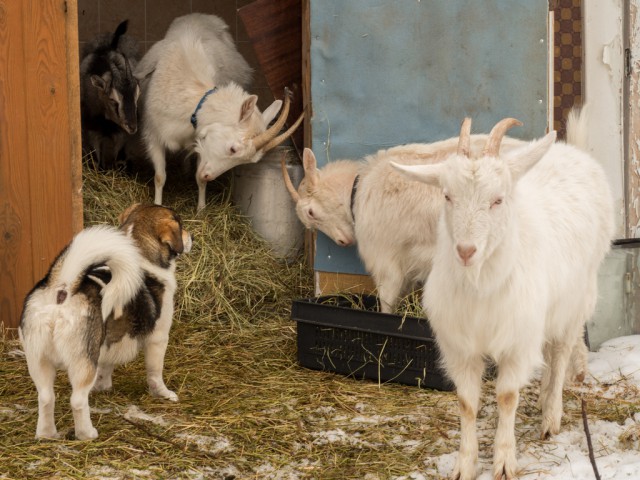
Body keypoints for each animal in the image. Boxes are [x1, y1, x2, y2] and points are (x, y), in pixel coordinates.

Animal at [18, 202, 191, 438]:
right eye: (180, 226)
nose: (191, 236)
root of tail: (62, 289)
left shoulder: (108, 344)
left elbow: (106, 367)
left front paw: (103, 387)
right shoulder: (158, 338)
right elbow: (155, 374)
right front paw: (164, 394)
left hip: (38, 360)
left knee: (45, 398)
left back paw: (47, 434)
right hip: (83, 362)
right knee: (77, 400)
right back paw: (87, 434)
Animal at [80, 19, 141, 170]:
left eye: (137, 97)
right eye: (113, 100)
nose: (133, 127)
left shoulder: (121, 134)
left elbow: (119, 160)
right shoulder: (92, 131)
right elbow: (95, 161)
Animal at [134, 13, 302, 210]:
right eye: (233, 149)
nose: (209, 175)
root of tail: (201, 16)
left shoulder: (199, 140)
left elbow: (199, 180)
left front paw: (201, 209)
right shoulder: (153, 135)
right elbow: (160, 177)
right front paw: (157, 206)